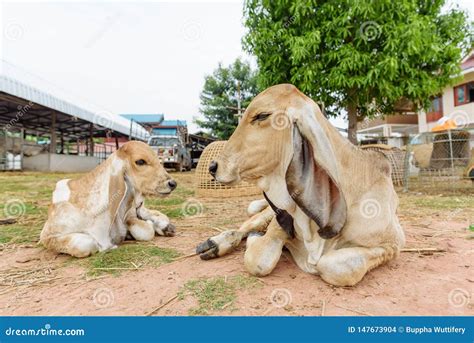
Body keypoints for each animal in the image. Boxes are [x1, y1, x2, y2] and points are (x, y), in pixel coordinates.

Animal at [39, 140, 177, 258]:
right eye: (140, 161)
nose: (172, 183)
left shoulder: (131, 215)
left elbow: (146, 230)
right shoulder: (47, 235)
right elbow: (84, 244)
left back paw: (166, 227)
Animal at [196, 85, 404, 288]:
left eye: (262, 115)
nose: (213, 167)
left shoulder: (393, 244)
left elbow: (338, 267)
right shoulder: (279, 215)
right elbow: (259, 260)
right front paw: (256, 238)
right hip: (265, 212)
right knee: (246, 226)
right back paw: (214, 244)